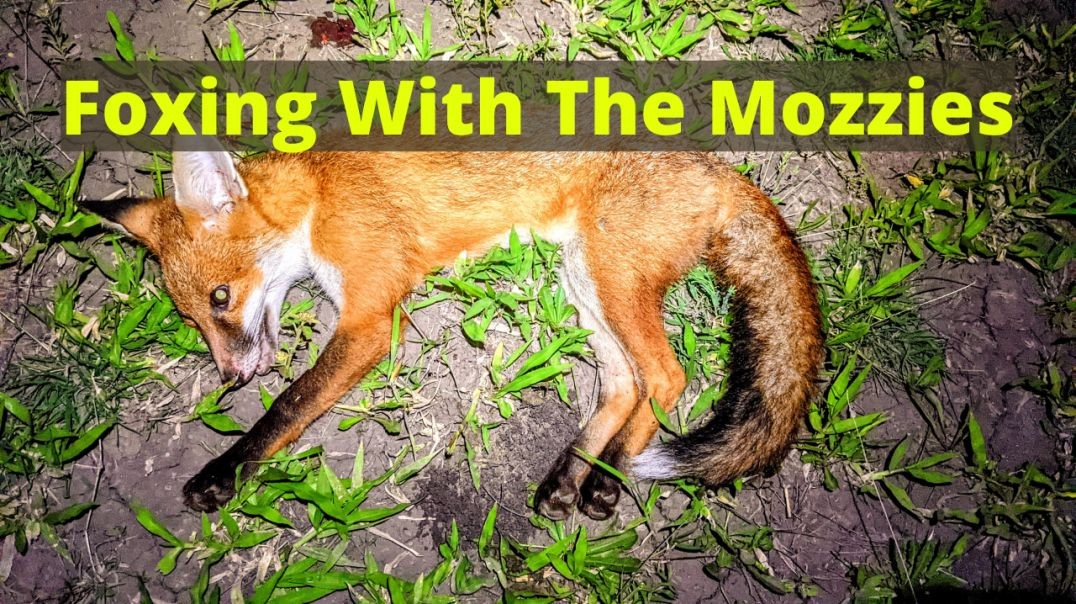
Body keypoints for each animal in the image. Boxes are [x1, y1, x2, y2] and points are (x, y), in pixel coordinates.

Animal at [83, 149, 822, 520]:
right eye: (191, 320)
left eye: (221, 298)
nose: (231, 376)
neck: (319, 194)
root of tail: (721, 169)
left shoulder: (371, 321)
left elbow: (289, 406)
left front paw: (223, 472)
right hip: (585, 283)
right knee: (623, 384)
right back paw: (568, 479)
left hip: (610, 278)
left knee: (668, 374)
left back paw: (607, 480)